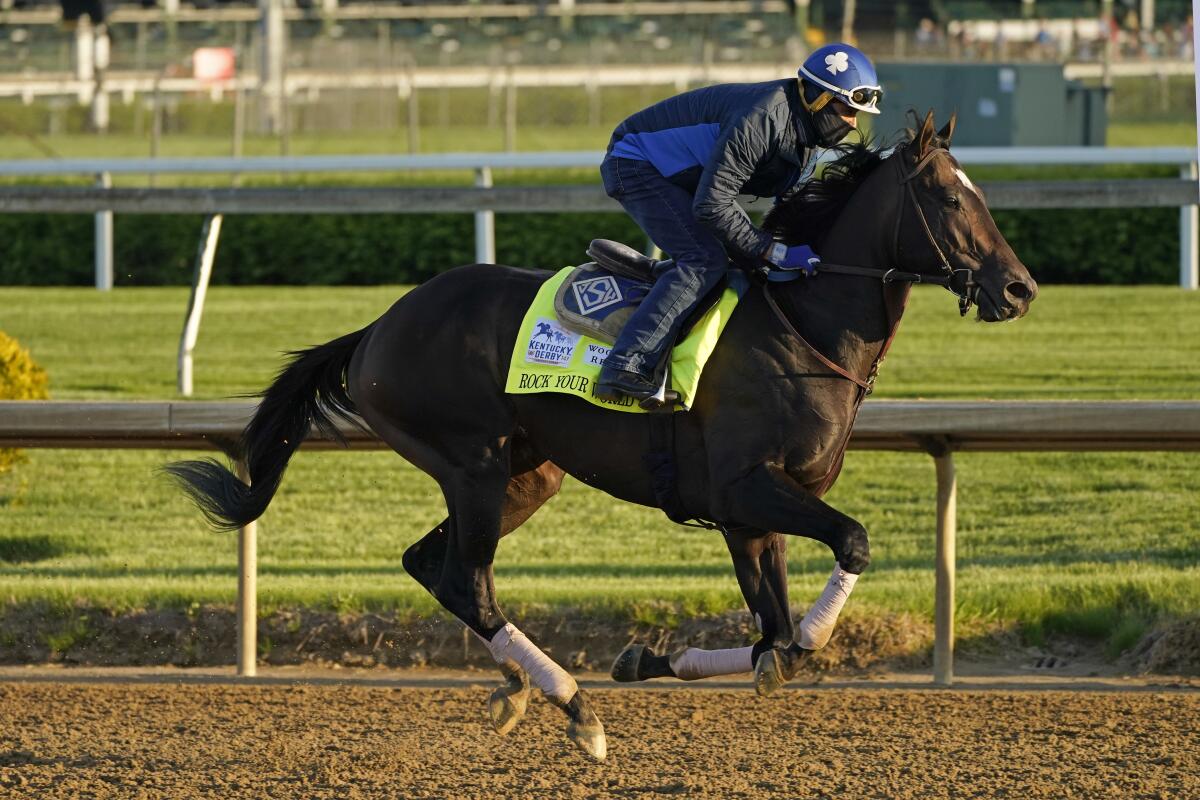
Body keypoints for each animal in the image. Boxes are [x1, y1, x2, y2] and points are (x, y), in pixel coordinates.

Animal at [164, 112, 1036, 762]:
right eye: (948, 199)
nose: (1020, 288)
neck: (801, 328)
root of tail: (378, 326)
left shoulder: (750, 516)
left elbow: (775, 637)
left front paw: (652, 657)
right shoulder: (748, 488)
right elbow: (843, 555)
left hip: (528, 474)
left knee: (431, 567)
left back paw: (518, 688)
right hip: (474, 465)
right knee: (468, 580)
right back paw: (574, 708)